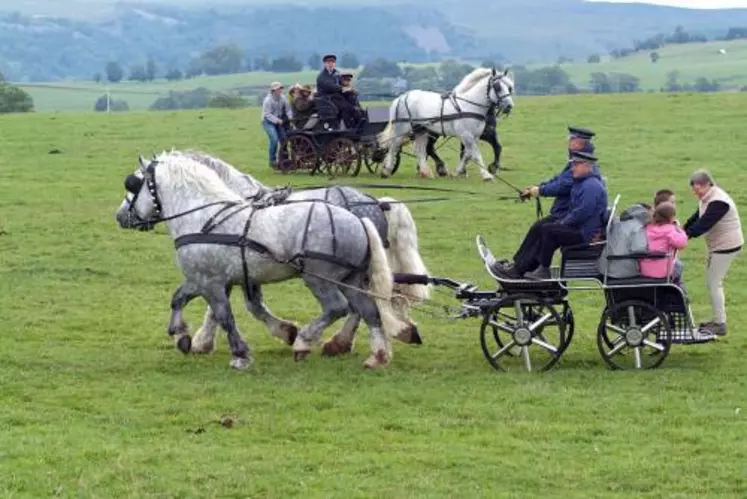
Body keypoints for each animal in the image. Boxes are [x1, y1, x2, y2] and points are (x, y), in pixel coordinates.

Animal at [374, 67, 516, 182]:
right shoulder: (466, 135)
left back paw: (425, 172)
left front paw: (458, 172)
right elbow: (475, 155)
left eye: (510, 87)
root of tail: (402, 97)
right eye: (497, 86)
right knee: (394, 147)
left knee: (421, 149)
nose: (509, 106)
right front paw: (486, 175)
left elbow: (467, 155)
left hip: (421, 130)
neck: (468, 105)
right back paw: (386, 171)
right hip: (402, 129)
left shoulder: (474, 136)